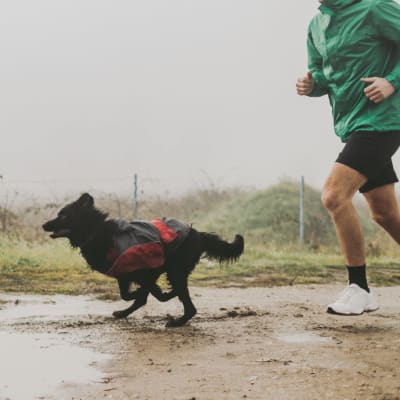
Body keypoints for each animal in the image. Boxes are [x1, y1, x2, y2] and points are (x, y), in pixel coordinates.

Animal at [43, 194, 244, 328]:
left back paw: (177, 321)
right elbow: (130, 295)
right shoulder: (124, 273)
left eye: (63, 216)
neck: (97, 232)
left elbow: (146, 294)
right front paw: (142, 297)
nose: (44, 225)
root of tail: (199, 234)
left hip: (175, 271)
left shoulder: (147, 269)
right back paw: (126, 312)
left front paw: (153, 294)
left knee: (189, 306)